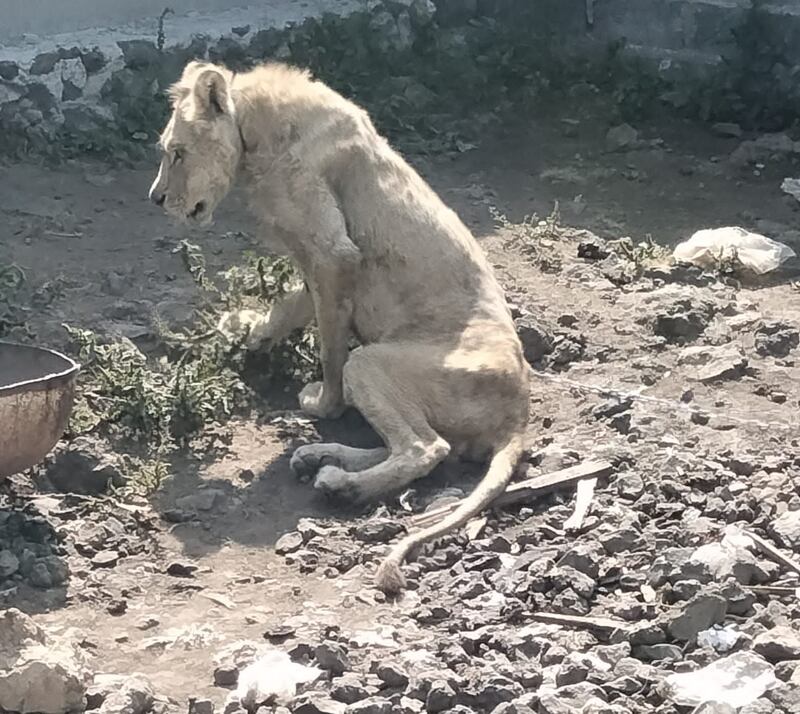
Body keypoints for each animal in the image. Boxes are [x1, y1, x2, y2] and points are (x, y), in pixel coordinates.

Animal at [150, 61, 532, 592]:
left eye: (177, 153)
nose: (156, 198)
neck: (255, 130)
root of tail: (520, 410)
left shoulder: (333, 254)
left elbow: (329, 346)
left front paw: (322, 403)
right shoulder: (315, 259)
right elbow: (291, 305)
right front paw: (248, 332)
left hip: (371, 362)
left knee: (423, 448)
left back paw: (342, 485)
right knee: (418, 442)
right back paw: (320, 459)